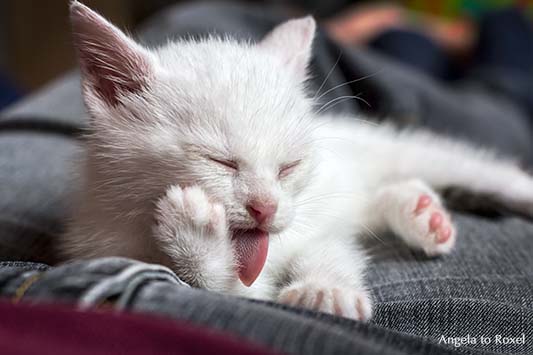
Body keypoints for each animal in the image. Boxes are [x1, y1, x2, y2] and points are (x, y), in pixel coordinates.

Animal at [62, 1, 532, 322]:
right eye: (221, 162)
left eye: (289, 166)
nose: (265, 208)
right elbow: (222, 291)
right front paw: (195, 237)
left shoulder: (314, 223)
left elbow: (325, 252)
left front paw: (325, 290)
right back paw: (422, 214)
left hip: (403, 155)